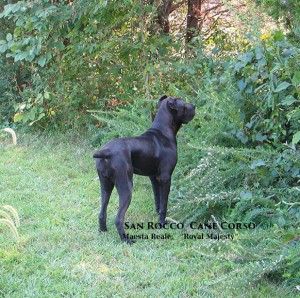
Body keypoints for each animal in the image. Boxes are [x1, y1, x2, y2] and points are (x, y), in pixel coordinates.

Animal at [94, 95, 197, 242]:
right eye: (184, 104)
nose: (194, 106)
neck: (163, 132)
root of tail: (106, 152)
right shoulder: (166, 177)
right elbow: (164, 203)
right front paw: (162, 224)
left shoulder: (154, 178)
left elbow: (158, 200)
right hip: (126, 186)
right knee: (118, 219)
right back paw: (127, 240)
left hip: (106, 185)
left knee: (102, 212)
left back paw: (103, 230)